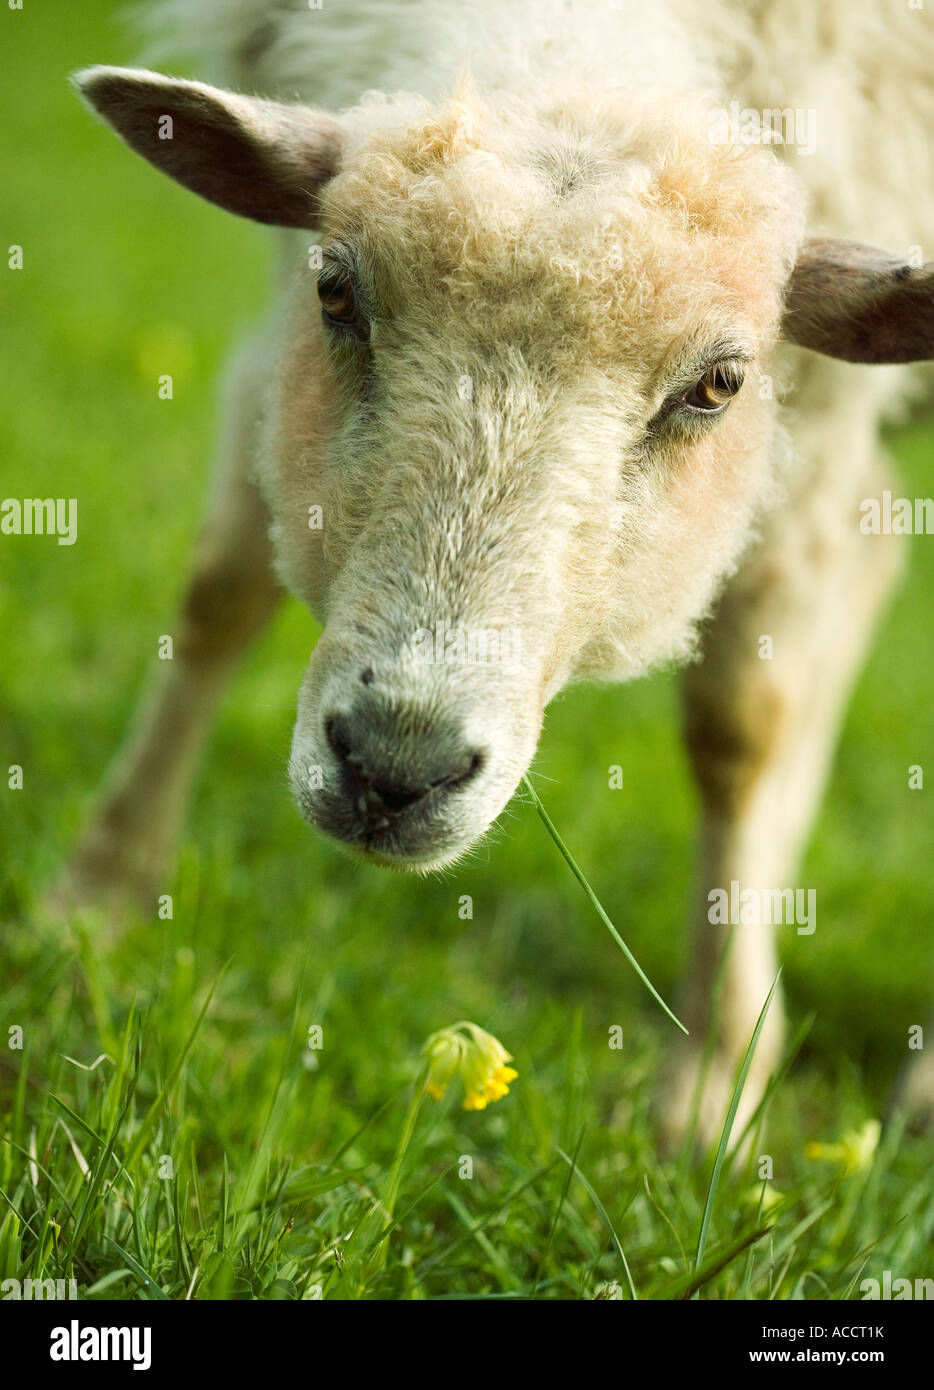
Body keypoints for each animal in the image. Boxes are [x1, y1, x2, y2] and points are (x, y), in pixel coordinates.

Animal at [69, 0, 933, 1145]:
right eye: (335, 291)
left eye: (719, 383)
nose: (396, 766)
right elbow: (220, 591)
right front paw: (99, 897)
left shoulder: (815, 424)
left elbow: (737, 734)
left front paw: (715, 1077)